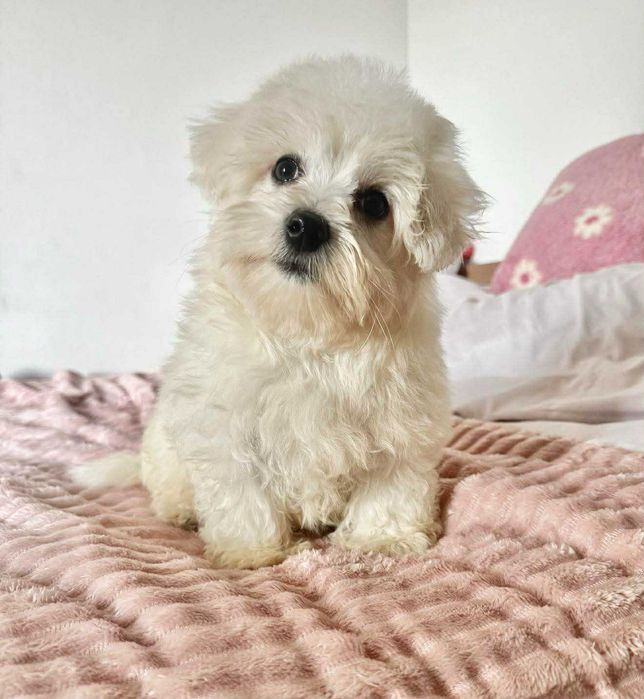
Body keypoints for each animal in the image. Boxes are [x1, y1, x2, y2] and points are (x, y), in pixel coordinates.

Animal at [72, 56, 484, 569]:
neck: (307, 333)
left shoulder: (403, 419)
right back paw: (180, 509)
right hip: (164, 448)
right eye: (286, 168)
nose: (307, 226)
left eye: (373, 203)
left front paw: (383, 538)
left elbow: (392, 482)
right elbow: (241, 492)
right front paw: (251, 552)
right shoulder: (224, 422)